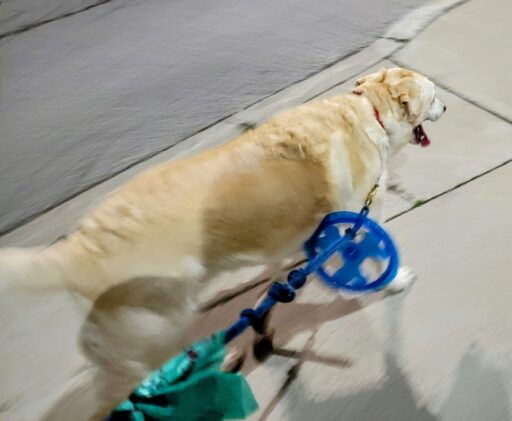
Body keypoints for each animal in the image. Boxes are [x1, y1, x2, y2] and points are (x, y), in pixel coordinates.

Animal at [0, 66, 444, 416]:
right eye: (434, 94)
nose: (446, 107)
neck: (370, 112)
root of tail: (81, 245)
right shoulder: (360, 218)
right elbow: (372, 259)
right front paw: (395, 281)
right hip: (160, 324)